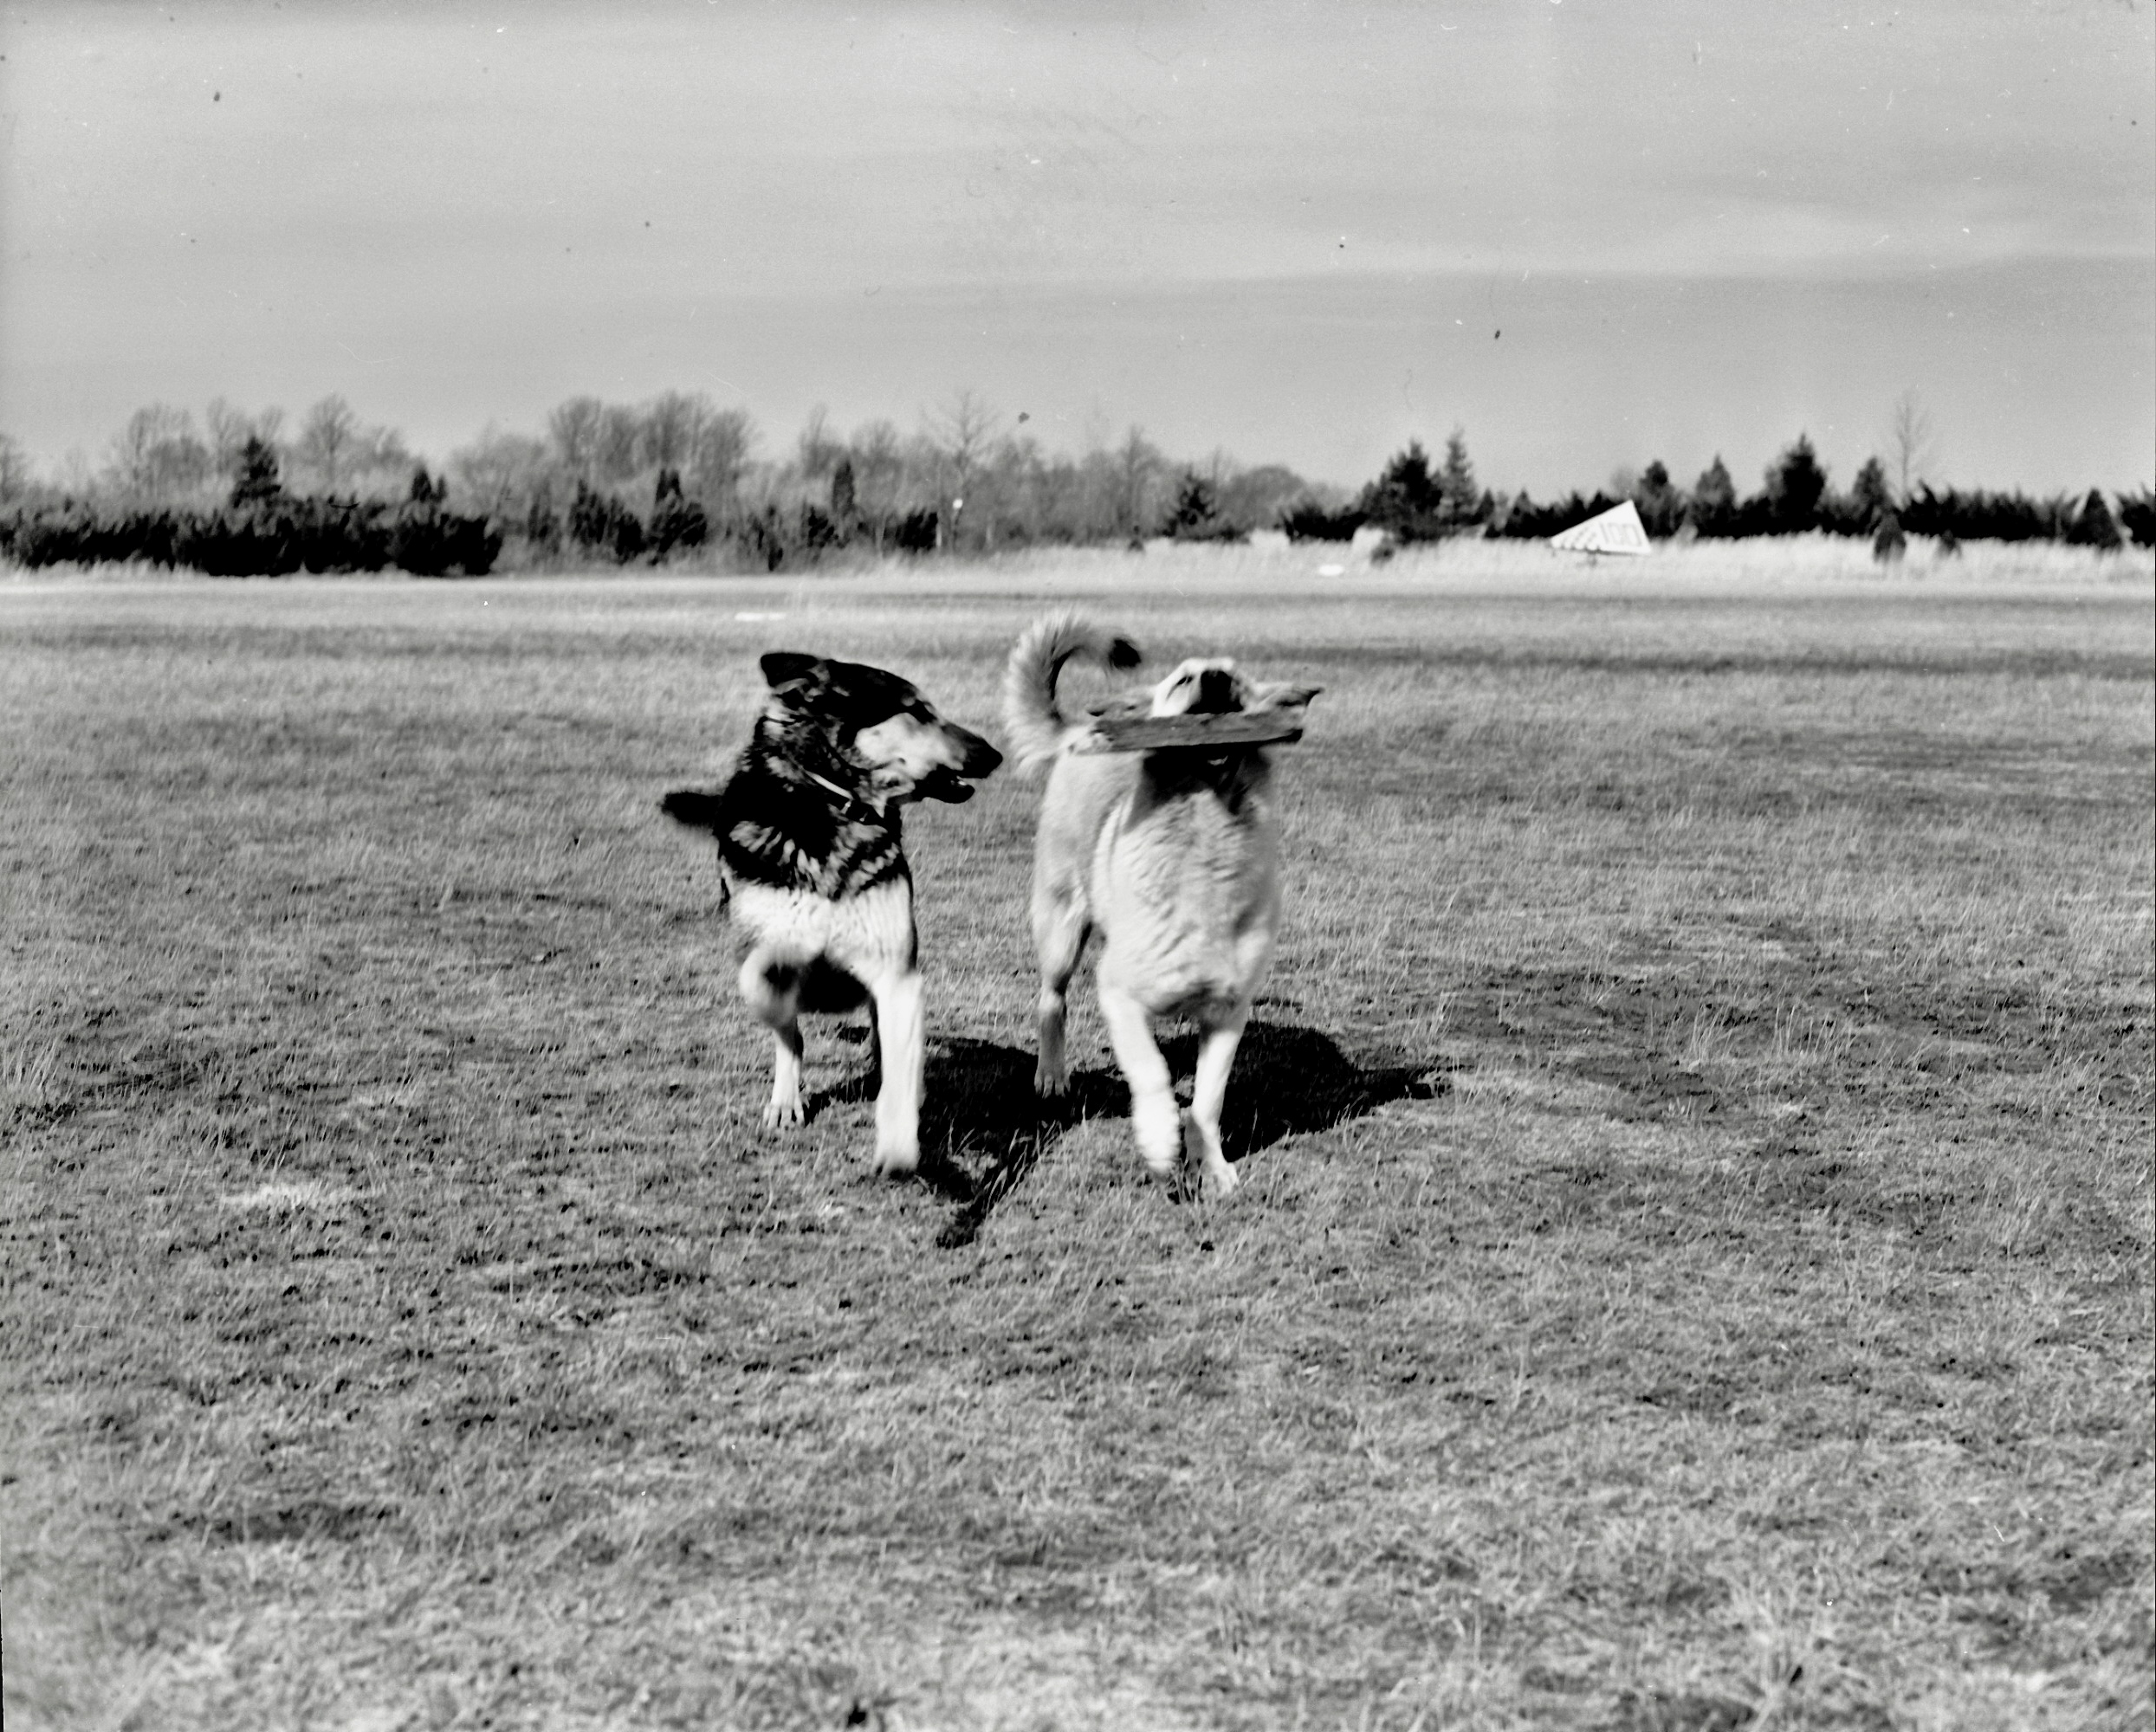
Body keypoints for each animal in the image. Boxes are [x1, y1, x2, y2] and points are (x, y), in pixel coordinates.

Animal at [664, 650, 1000, 1180]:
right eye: (917, 710)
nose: (993, 754)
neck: (834, 804)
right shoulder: (764, 949)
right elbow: (771, 984)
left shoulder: (897, 968)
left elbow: (897, 1053)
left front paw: (899, 1142)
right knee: (791, 1033)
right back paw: (787, 1097)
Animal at [1000, 616, 1302, 1198]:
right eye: (1183, 680)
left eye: (1235, 676)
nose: (1214, 679)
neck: (1204, 844)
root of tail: (1078, 732)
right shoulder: (1118, 993)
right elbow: (1152, 1072)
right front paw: (1161, 1138)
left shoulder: (1229, 1012)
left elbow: (1208, 1100)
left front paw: (1213, 1166)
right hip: (1061, 928)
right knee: (1052, 1000)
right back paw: (1051, 1074)